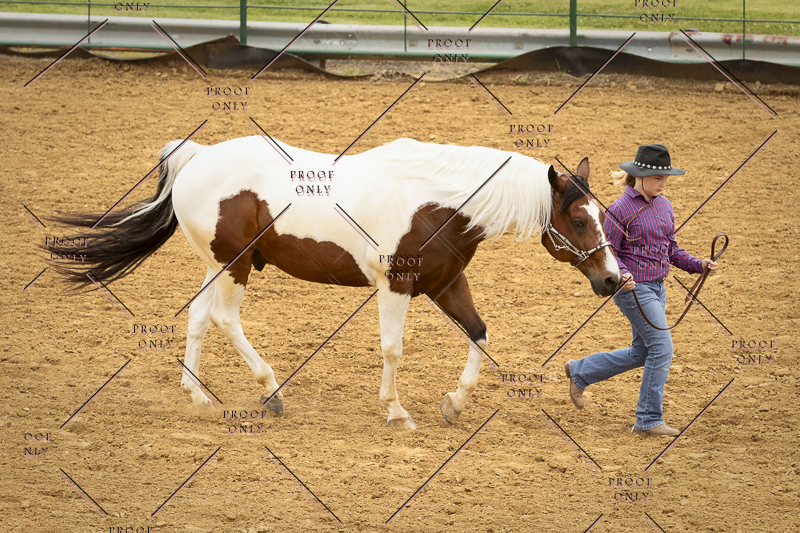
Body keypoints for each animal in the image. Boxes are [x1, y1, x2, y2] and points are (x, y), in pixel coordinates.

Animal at [52, 136, 622, 429]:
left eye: (603, 213)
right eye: (577, 218)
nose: (613, 279)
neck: (438, 201)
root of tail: (198, 155)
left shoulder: (446, 282)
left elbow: (479, 333)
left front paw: (455, 403)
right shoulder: (396, 286)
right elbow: (392, 348)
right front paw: (396, 411)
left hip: (217, 263)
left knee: (198, 317)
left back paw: (197, 396)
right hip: (234, 265)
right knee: (223, 318)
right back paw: (271, 391)